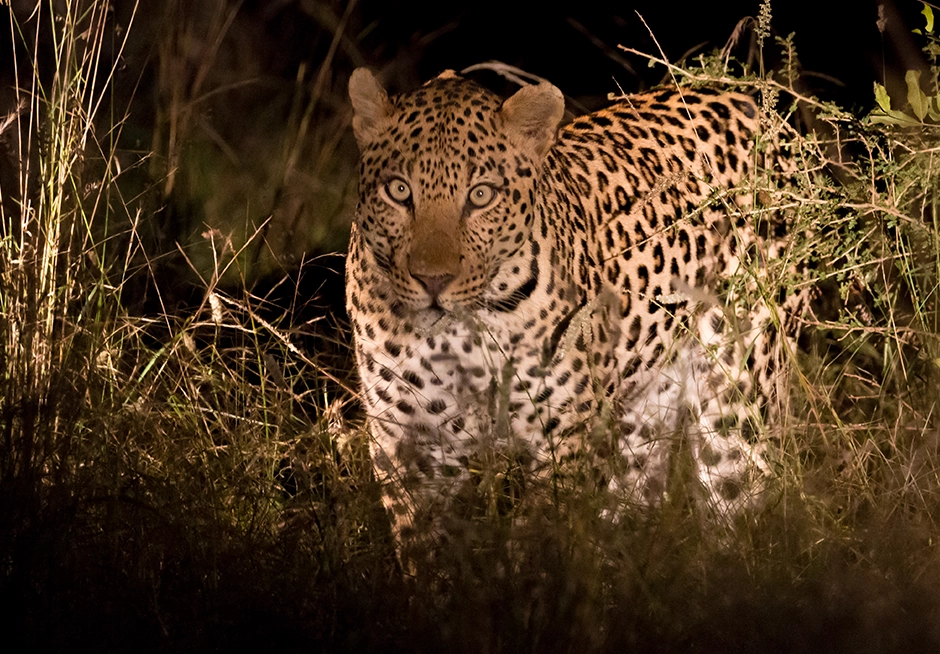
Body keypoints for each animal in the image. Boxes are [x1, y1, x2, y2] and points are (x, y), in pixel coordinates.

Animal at [345, 67, 805, 544]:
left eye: (481, 195)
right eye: (399, 191)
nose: (432, 280)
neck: (459, 338)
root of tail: (748, 98)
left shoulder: (564, 439)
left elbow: (541, 541)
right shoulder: (407, 442)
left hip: (737, 408)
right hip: (640, 417)